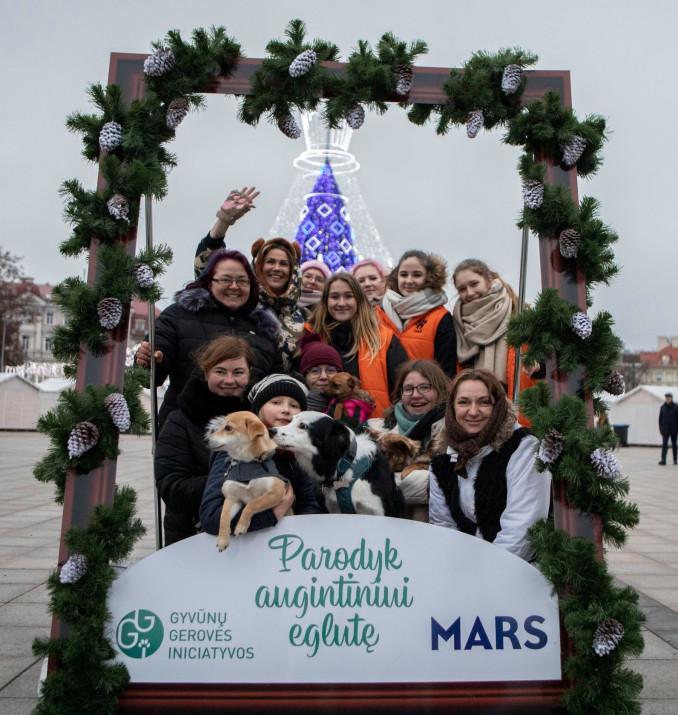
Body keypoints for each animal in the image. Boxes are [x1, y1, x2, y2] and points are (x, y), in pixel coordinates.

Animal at [210, 412, 290, 552]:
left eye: (228, 428)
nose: (206, 441)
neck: (247, 464)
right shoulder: (232, 498)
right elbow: (223, 517)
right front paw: (222, 539)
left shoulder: (276, 492)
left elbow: (252, 504)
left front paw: (241, 526)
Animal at [270, 412, 406, 516]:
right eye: (290, 420)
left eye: (303, 426)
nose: (271, 431)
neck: (346, 467)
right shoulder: (335, 508)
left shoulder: (378, 510)